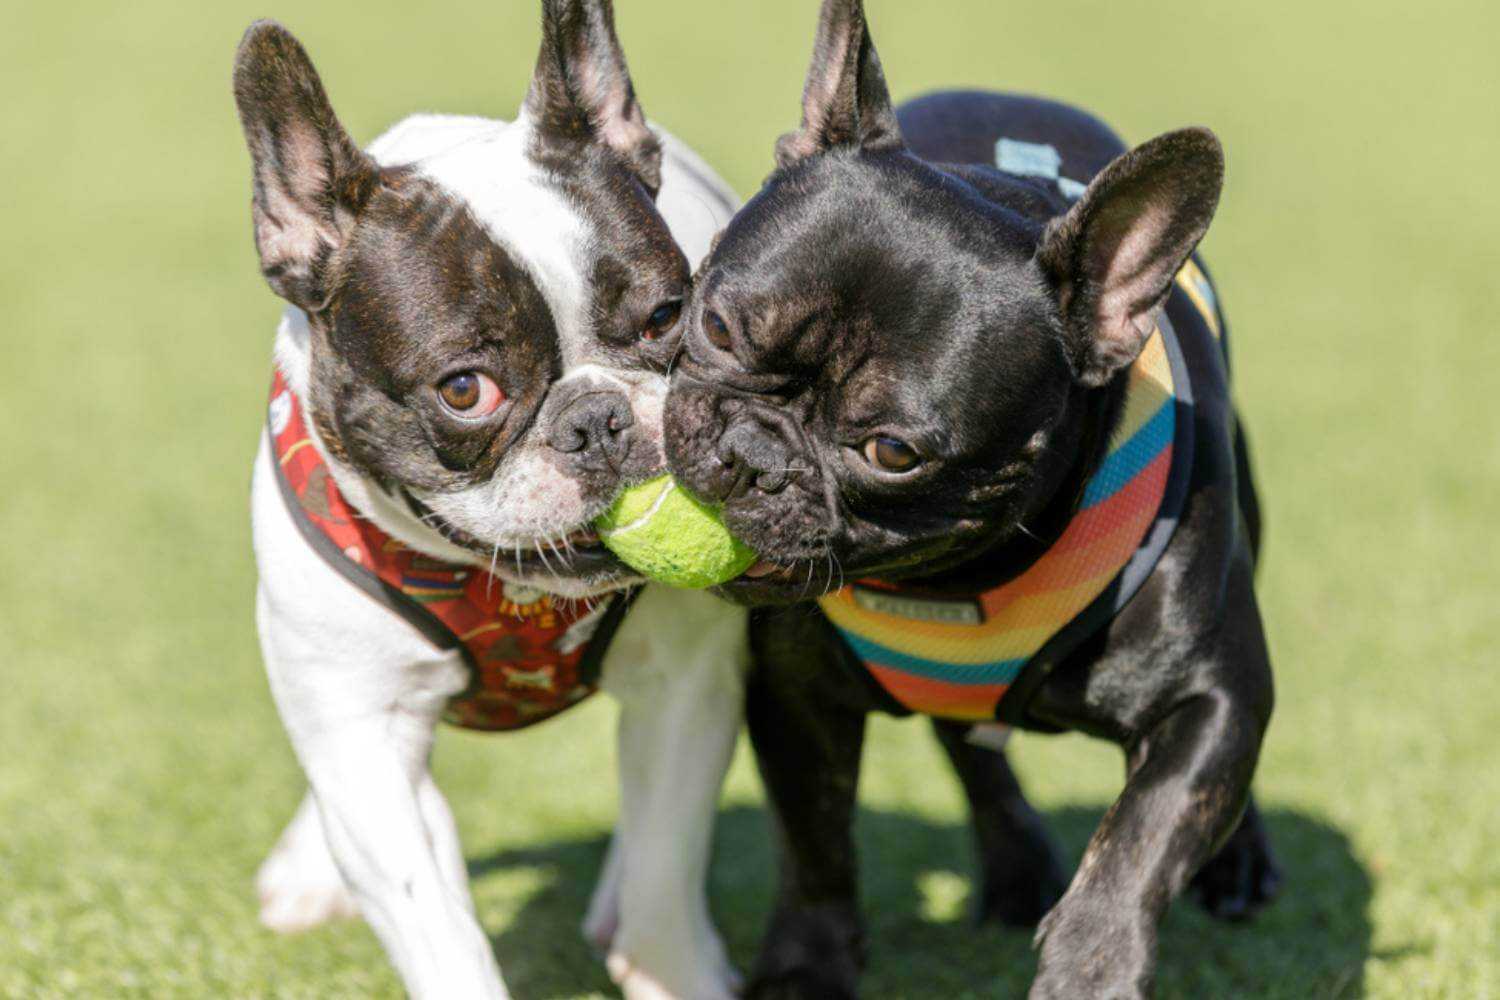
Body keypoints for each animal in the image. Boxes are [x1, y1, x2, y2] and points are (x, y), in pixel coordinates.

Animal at [235, 5, 750, 995]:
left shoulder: (687, 685)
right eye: (465, 390)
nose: (600, 420)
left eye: (668, 318)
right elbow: (432, 918)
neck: (508, 593)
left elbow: (667, 858)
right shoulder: (366, 742)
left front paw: (672, 968)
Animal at [669, 3, 1278, 995]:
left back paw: (1238, 864)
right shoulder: (797, 698)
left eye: (892, 452)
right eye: (717, 327)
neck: (962, 576)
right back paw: (1017, 865)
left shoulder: (1211, 698)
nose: (753, 452)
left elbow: (1142, 840)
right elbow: (817, 844)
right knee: (971, 751)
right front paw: (806, 968)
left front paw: (1092, 967)